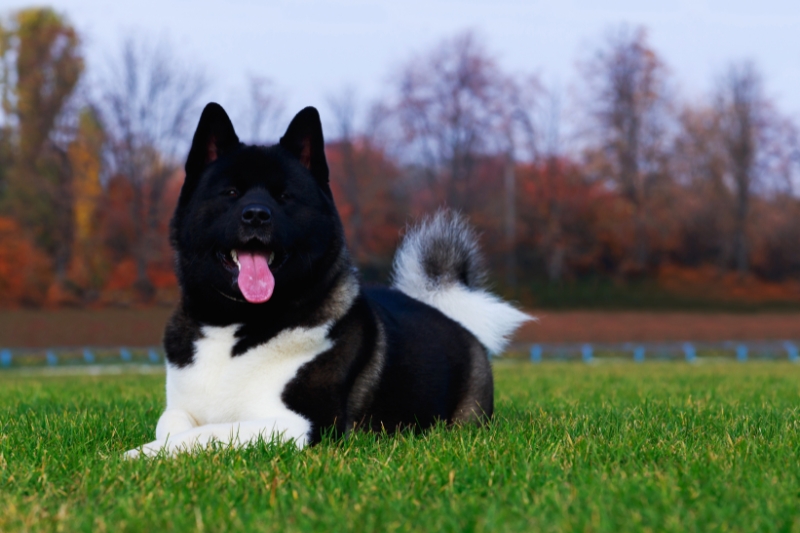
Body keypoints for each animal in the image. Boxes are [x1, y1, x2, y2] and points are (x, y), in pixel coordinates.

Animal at [125, 103, 532, 458]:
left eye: (285, 196)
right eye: (231, 192)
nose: (256, 215)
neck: (236, 324)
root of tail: (450, 314)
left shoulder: (303, 424)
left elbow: (208, 433)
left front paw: (139, 454)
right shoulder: (181, 407)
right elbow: (173, 426)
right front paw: (153, 448)